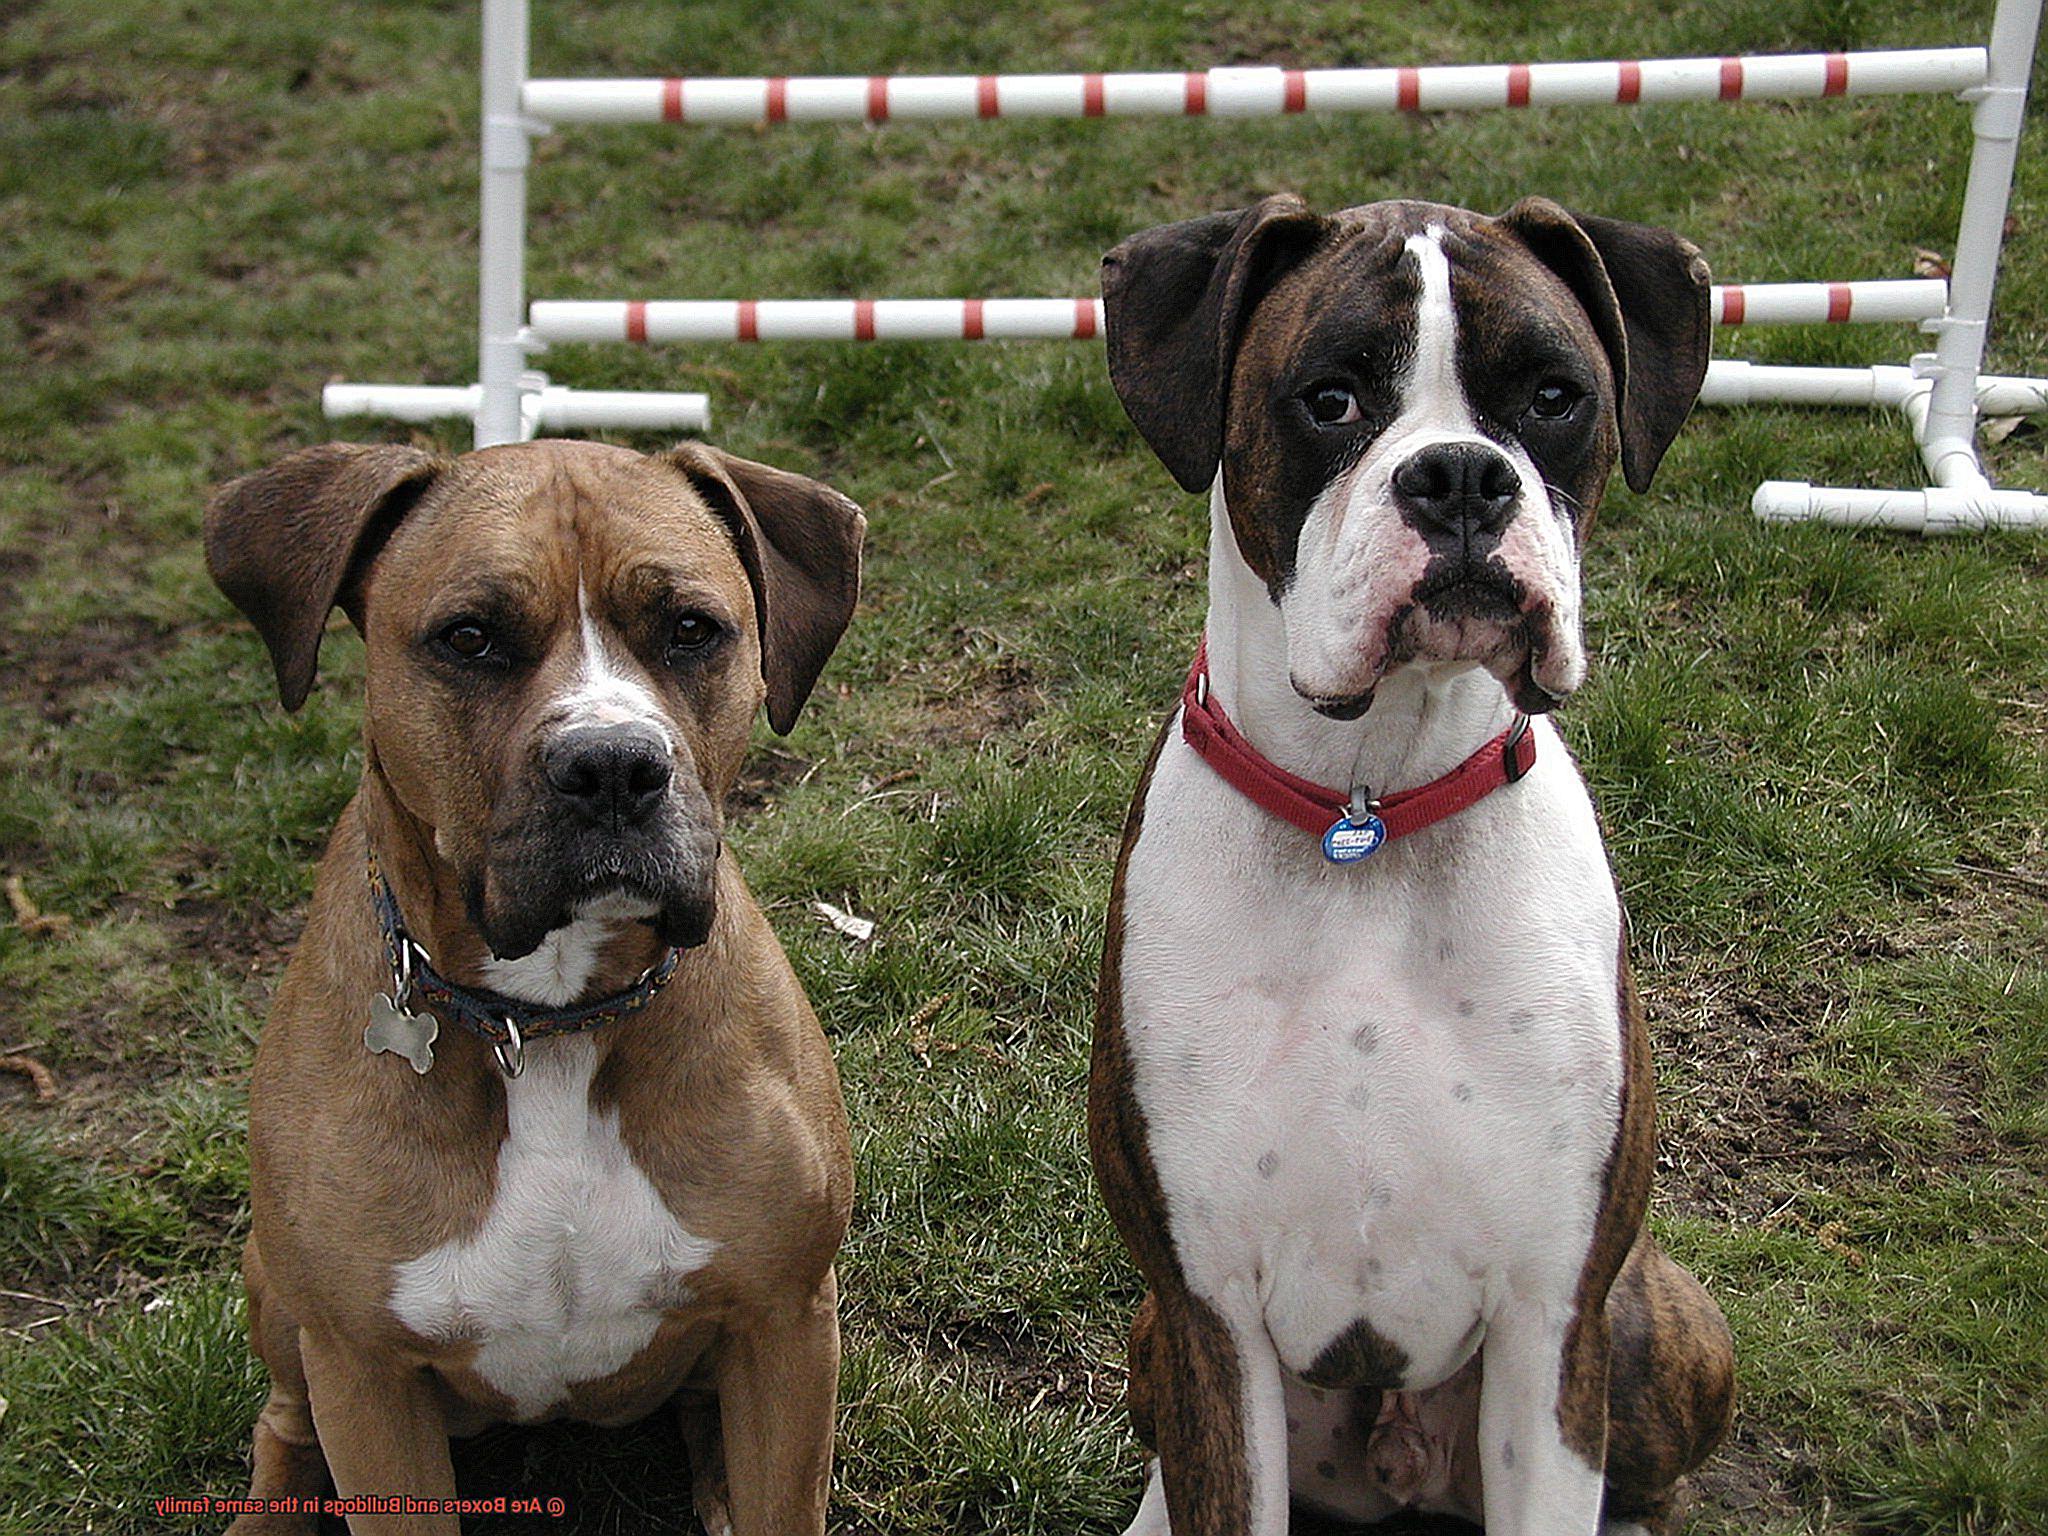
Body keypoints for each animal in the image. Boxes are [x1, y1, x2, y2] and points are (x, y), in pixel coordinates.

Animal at [197, 438, 856, 1531]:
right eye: (469, 638)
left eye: (690, 629)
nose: (615, 765)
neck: (547, 1021)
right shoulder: (366, 1378)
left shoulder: (784, 1323)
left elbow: (783, 1498)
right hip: (281, 1301)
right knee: (281, 1426)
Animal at [1089, 198, 1728, 1536]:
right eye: (1330, 400)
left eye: (1552, 397)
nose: (1460, 477)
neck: (1368, 808)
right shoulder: (1208, 1319)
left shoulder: (1551, 1324)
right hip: (1151, 1338)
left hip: (1656, 1327)